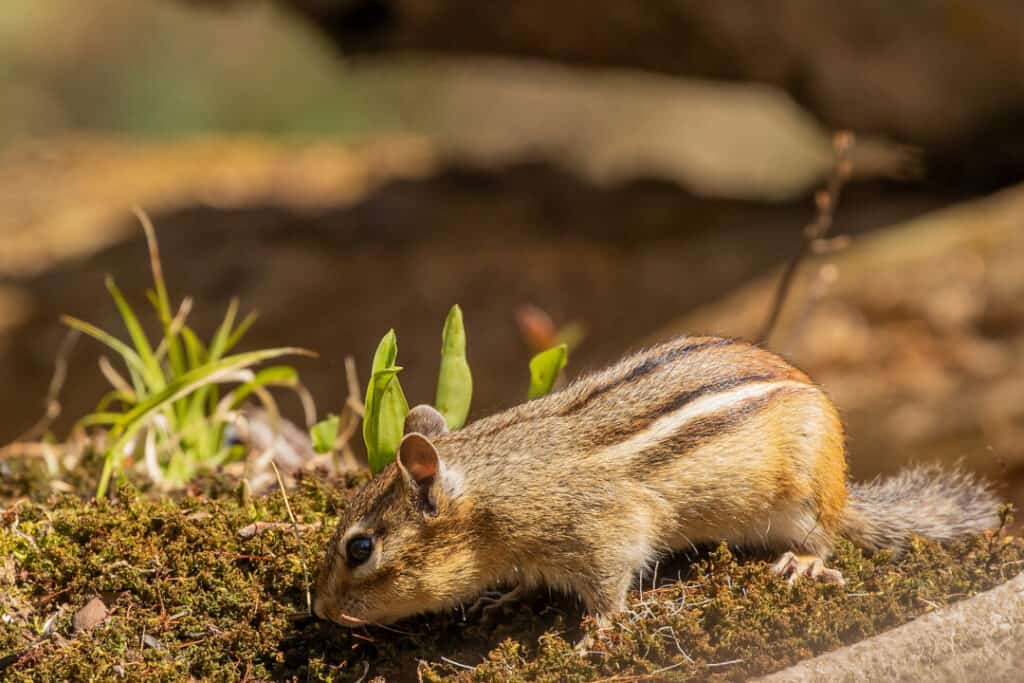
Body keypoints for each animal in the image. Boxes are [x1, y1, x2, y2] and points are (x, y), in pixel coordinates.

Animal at [312, 335, 1000, 630]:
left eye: (360, 548)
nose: (318, 610)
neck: (492, 491)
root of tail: (843, 491)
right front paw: (504, 596)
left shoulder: (602, 530)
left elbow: (610, 582)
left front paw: (601, 630)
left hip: (804, 497)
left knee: (822, 539)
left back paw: (803, 562)